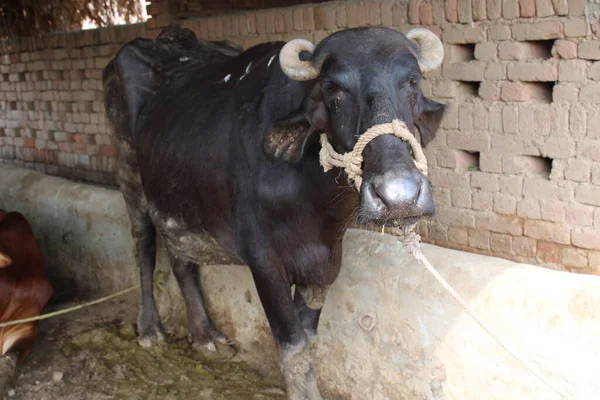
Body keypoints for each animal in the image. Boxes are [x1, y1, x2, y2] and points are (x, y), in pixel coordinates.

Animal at [103, 23, 442, 398]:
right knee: (144, 246)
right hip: (130, 178)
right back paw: (150, 329)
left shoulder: (324, 264)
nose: (399, 196)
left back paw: (205, 335)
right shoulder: (263, 260)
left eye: (412, 81)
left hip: (178, 198)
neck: (314, 204)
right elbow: (293, 346)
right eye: (332, 87)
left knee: (181, 260)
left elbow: (308, 342)